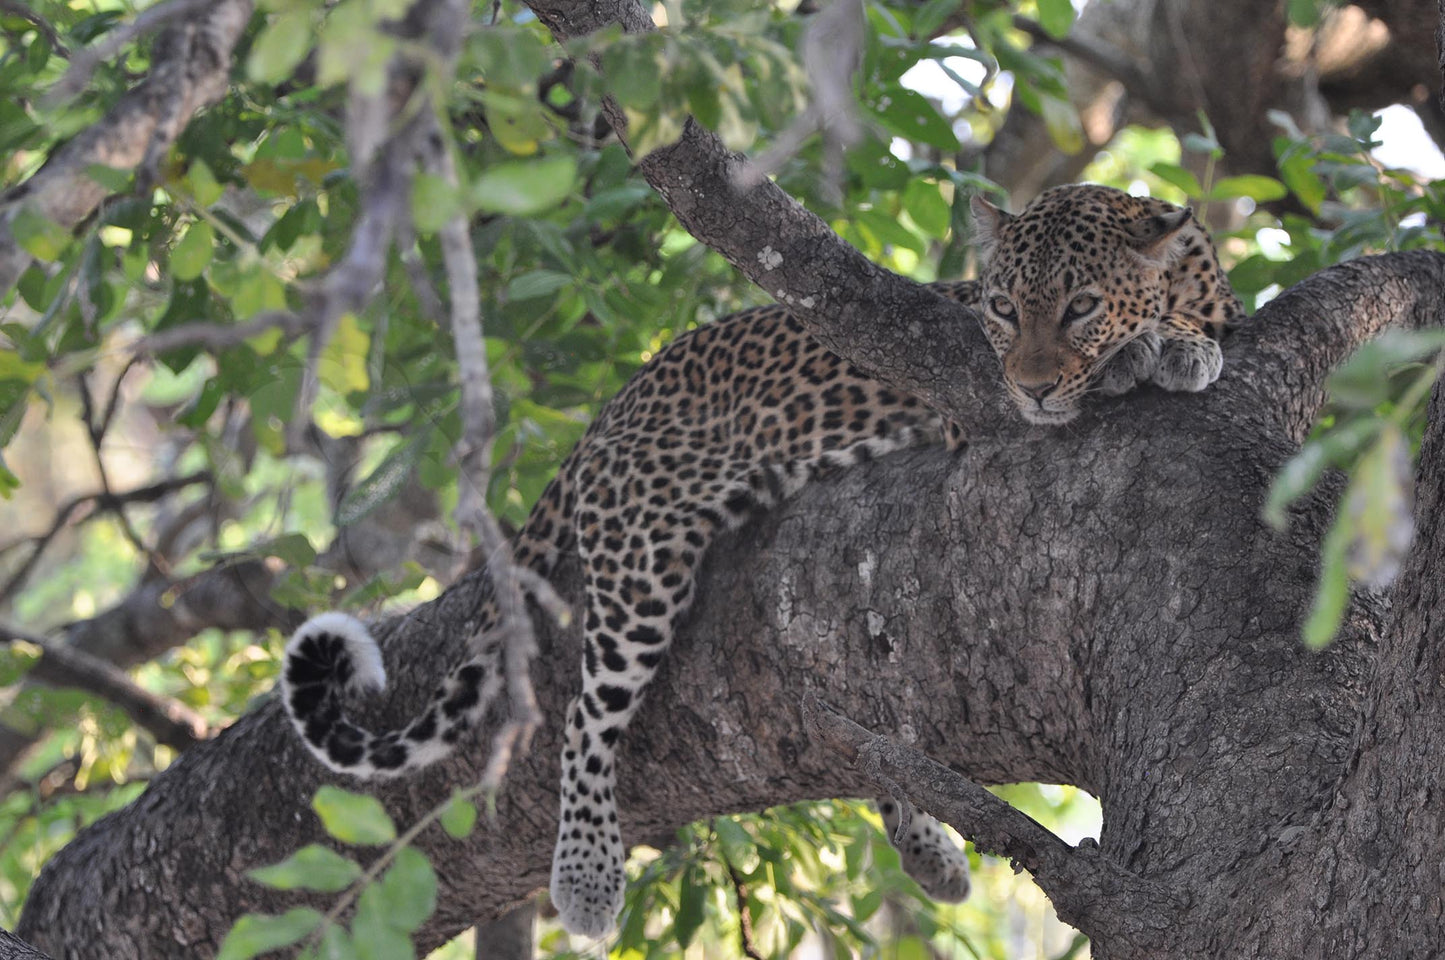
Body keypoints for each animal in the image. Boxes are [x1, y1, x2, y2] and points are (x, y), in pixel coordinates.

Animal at [278, 180, 1242, 936]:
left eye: (1079, 307)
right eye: (1001, 311)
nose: (1031, 387)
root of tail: (617, 400)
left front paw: (1174, 340)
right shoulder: (967, 416)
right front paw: (1159, 347)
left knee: (864, 730)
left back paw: (928, 848)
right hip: (640, 553)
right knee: (585, 717)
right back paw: (585, 876)